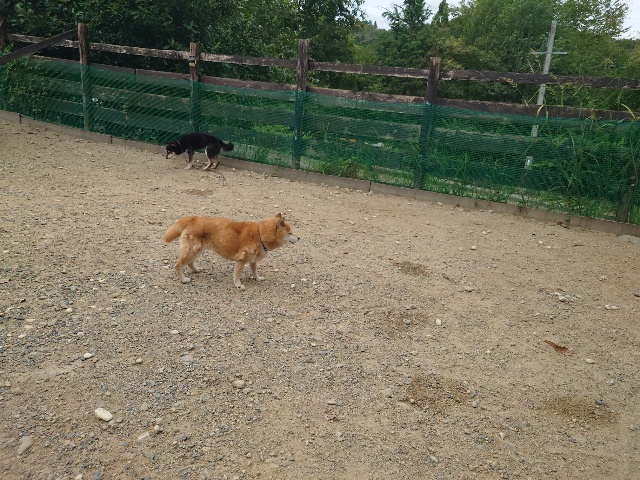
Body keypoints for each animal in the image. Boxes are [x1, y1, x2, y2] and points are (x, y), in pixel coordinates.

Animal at [163, 213, 299, 289]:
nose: (299, 238)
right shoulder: (241, 260)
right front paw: (238, 285)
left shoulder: (253, 260)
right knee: (178, 265)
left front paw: (257, 278)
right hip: (192, 250)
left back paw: (196, 270)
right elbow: (237, 275)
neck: (260, 234)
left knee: (190, 263)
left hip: (197, 250)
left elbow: (254, 271)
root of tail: (193, 218)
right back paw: (183, 279)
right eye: (290, 233)